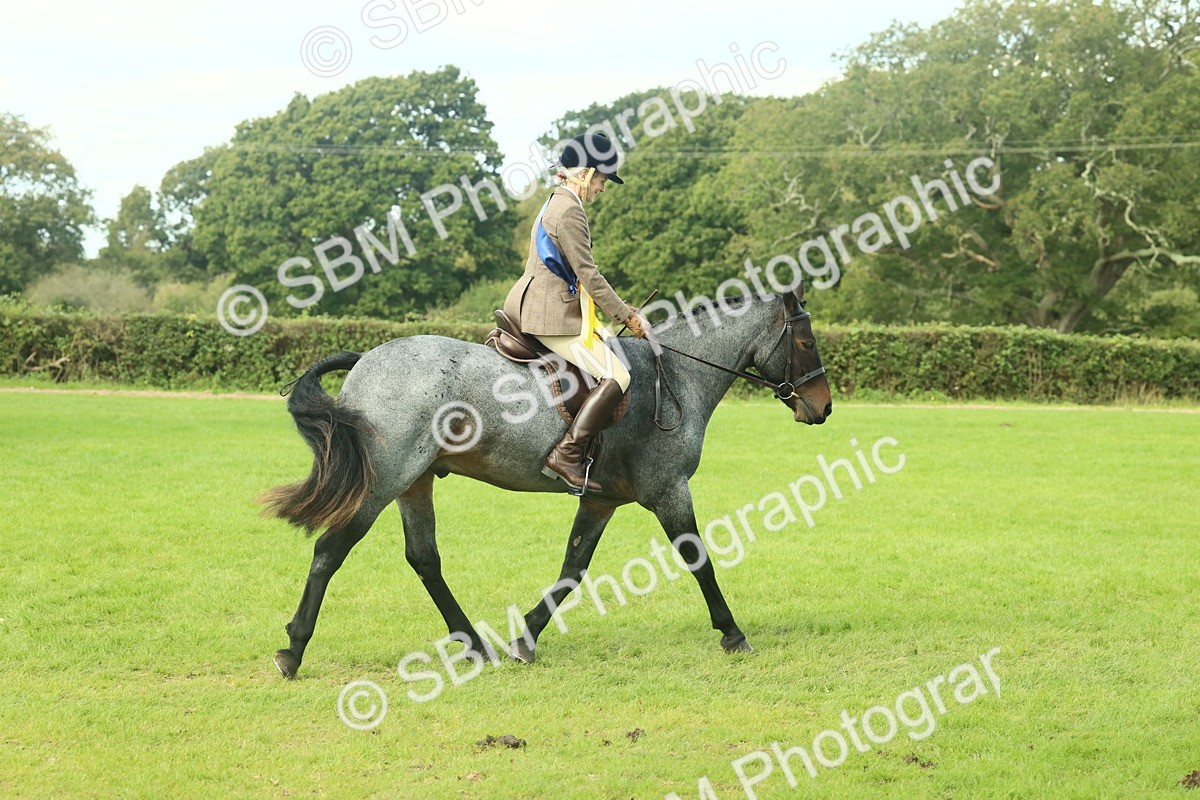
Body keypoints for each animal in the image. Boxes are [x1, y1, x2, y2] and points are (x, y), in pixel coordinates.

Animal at [262, 285, 832, 679]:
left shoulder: (602, 500)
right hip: (383, 481)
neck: (676, 378)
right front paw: (733, 634)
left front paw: (525, 639)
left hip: (415, 482)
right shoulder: (669, 491)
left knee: (424, 559)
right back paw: (293, 649)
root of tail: (366, 359)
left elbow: (572, 570)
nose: (823, 407)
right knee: (330, 550)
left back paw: (474, 644)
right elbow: (699, 559)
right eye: (806, 340)